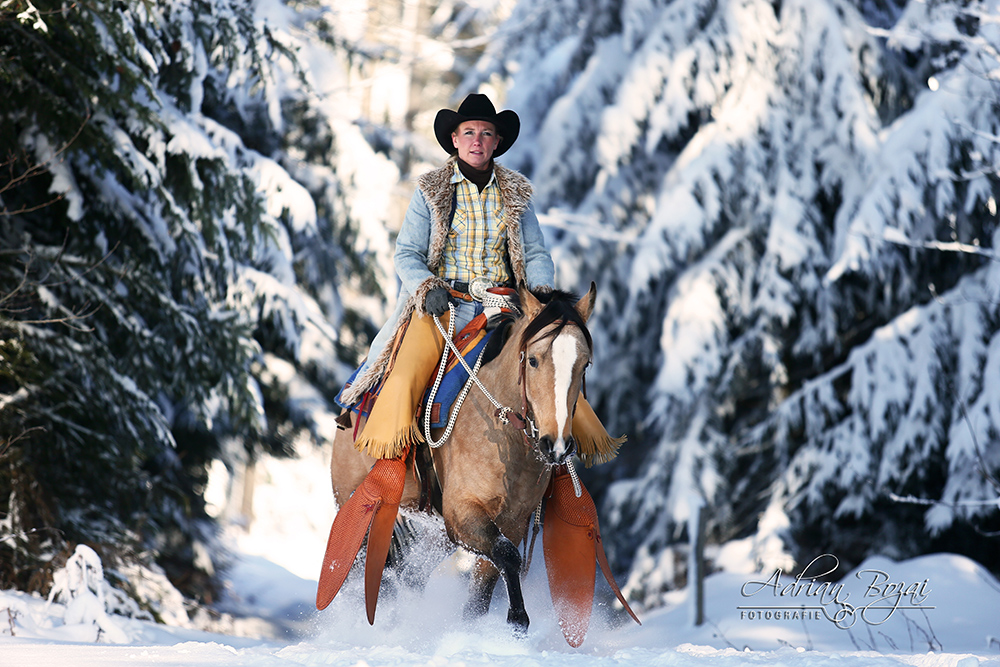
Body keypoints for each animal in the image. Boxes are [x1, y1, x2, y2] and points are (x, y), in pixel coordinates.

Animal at [316, 286, 636, 648]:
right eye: (534, 359)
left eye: (584, 364)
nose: (555, 444)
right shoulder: (462, 512)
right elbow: (507, 556)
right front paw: (517, 621)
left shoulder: (511, 520)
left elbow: (488, 578)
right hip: (357, 506)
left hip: (431, 533)